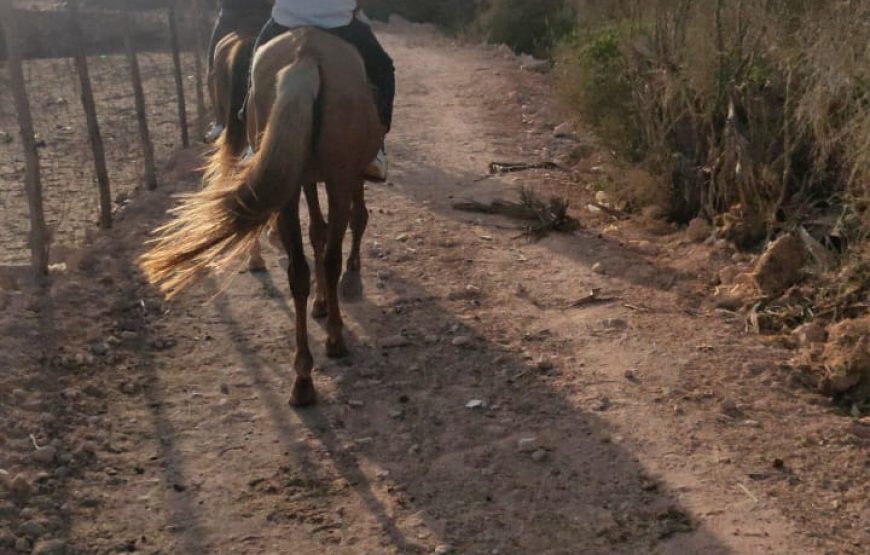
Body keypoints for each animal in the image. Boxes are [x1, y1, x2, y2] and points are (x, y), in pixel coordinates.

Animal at [141, 28, 383, 407]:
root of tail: (305, 55)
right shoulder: (343, 176)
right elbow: (349, 223)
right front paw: (348, 282)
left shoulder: (304, 177)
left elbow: (316, 231)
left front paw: (321, 300)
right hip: (338, 177)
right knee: (330, 256)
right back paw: (334, 339)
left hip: (289, 181)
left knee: (297, 270)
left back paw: (302, 378)